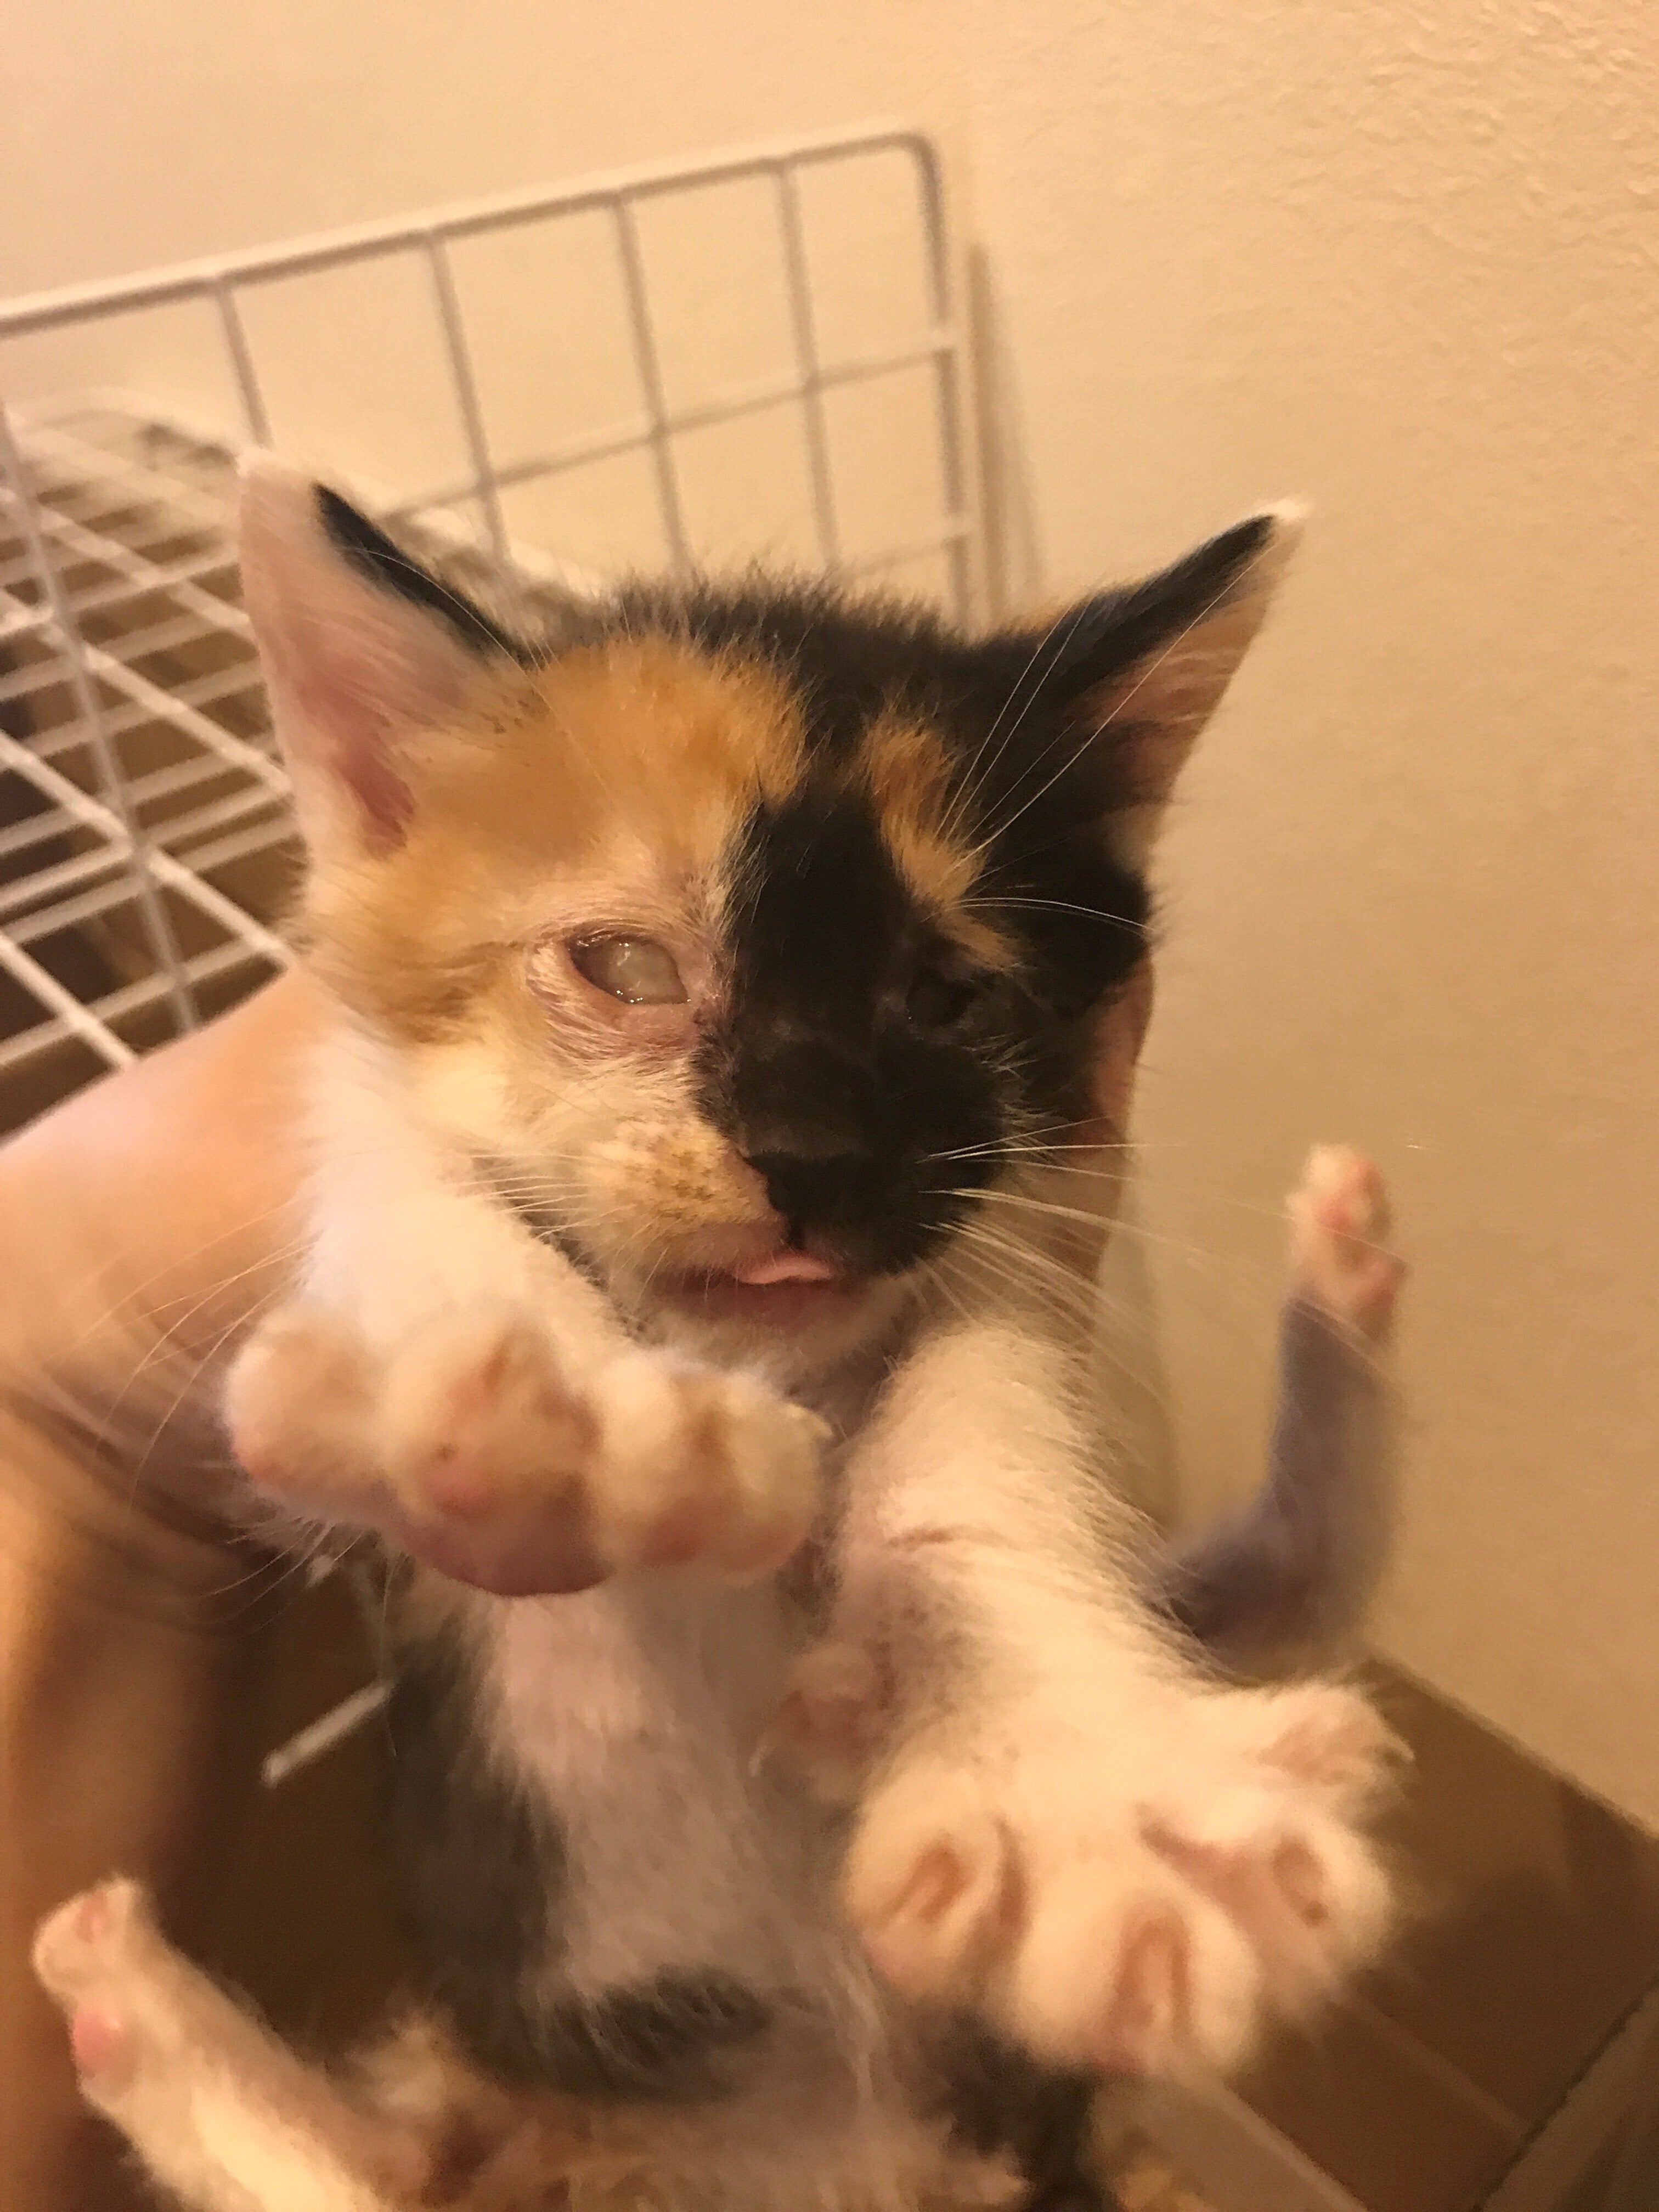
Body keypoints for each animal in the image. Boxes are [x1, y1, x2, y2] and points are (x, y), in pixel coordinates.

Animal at [33, 458, 1405, 2212]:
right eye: (624, 963)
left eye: (950, 992)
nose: (814, 1157)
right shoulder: (351, 1093)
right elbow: (398, 1160)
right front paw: (561, 1409)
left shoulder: (1003, 1225)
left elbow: (985, 1421)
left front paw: (1092, 1786)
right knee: (372, 2183)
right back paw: (127, 1992)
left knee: (1287, 1587)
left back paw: (1346, 1275)